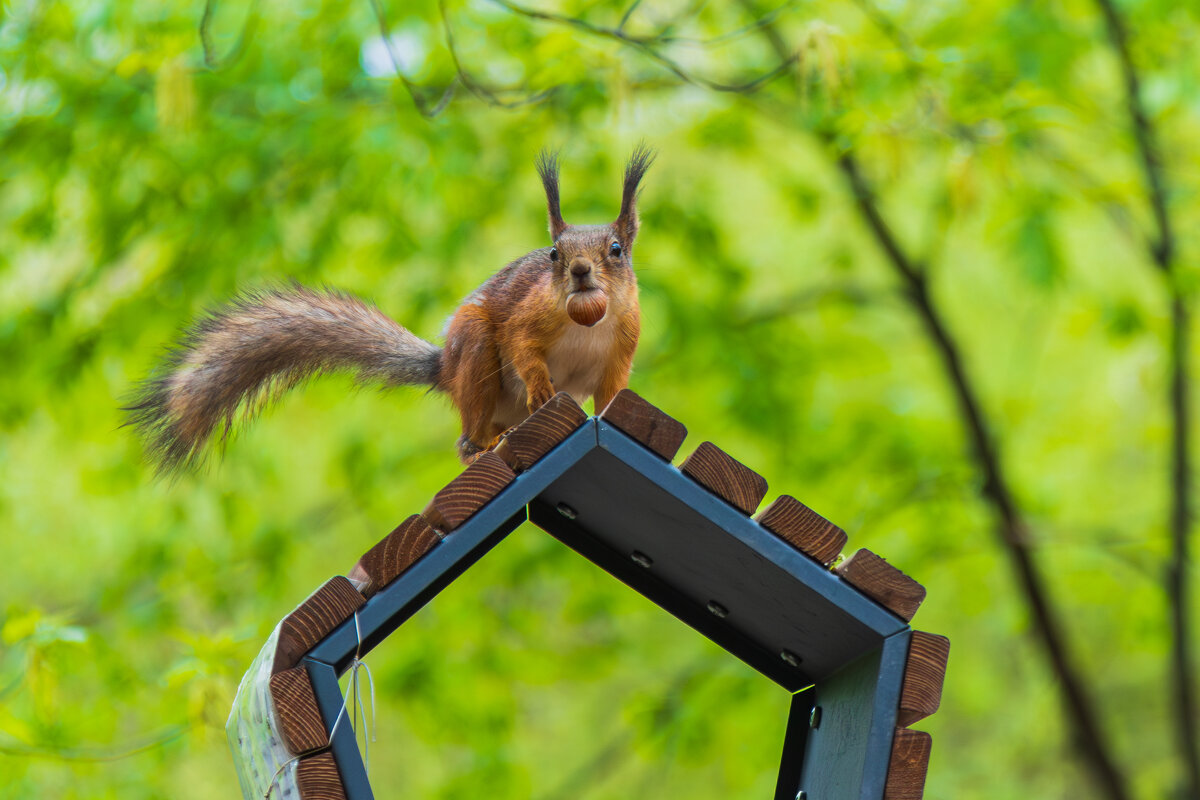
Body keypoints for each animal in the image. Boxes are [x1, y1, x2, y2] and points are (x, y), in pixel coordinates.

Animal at [126, 145, 652, 470]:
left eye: (616, 250)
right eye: (554, 256)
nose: (580, 270)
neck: (588, 321)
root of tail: (444, 370)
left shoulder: (624, 343)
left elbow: (611, 391)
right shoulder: (530, 315)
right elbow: (522, 344)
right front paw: (542, 387)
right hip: (475, 353)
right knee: (467, 434)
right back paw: (482, 448)